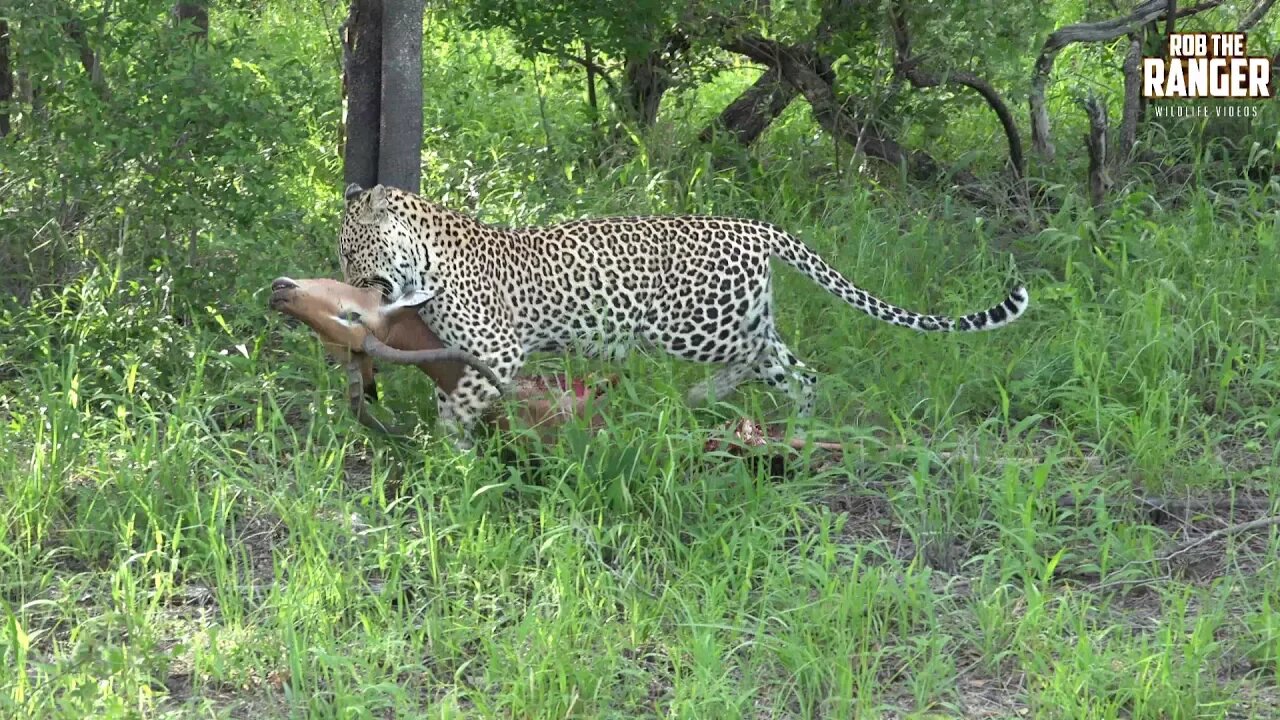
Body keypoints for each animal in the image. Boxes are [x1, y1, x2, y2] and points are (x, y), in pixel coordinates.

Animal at [337, 181, 1029, 445]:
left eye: (351, 252)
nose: (347, 287)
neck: (424, 259)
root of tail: (754, 227)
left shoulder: (498, 350)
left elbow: (459, 402)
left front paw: (449, 450)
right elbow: (452, 390)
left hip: (693, 326)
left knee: (756, 359)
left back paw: (702, 396)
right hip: (740, 316)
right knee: (797, 370)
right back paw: (793, 427)